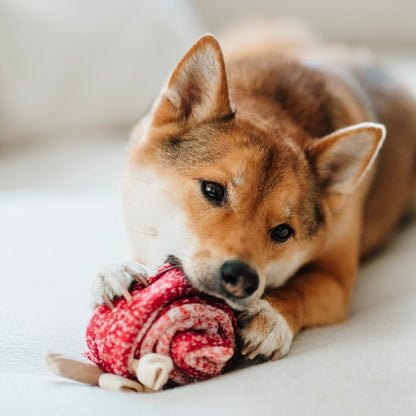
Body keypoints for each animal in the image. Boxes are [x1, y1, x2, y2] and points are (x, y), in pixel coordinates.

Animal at [92, 22, 416, 360]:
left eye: (283, 231)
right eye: (212, 189)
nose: (242, 278)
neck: (278, 107)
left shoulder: (336, 281)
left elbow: (300, 287)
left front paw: (271, 317)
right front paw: (121, 269)